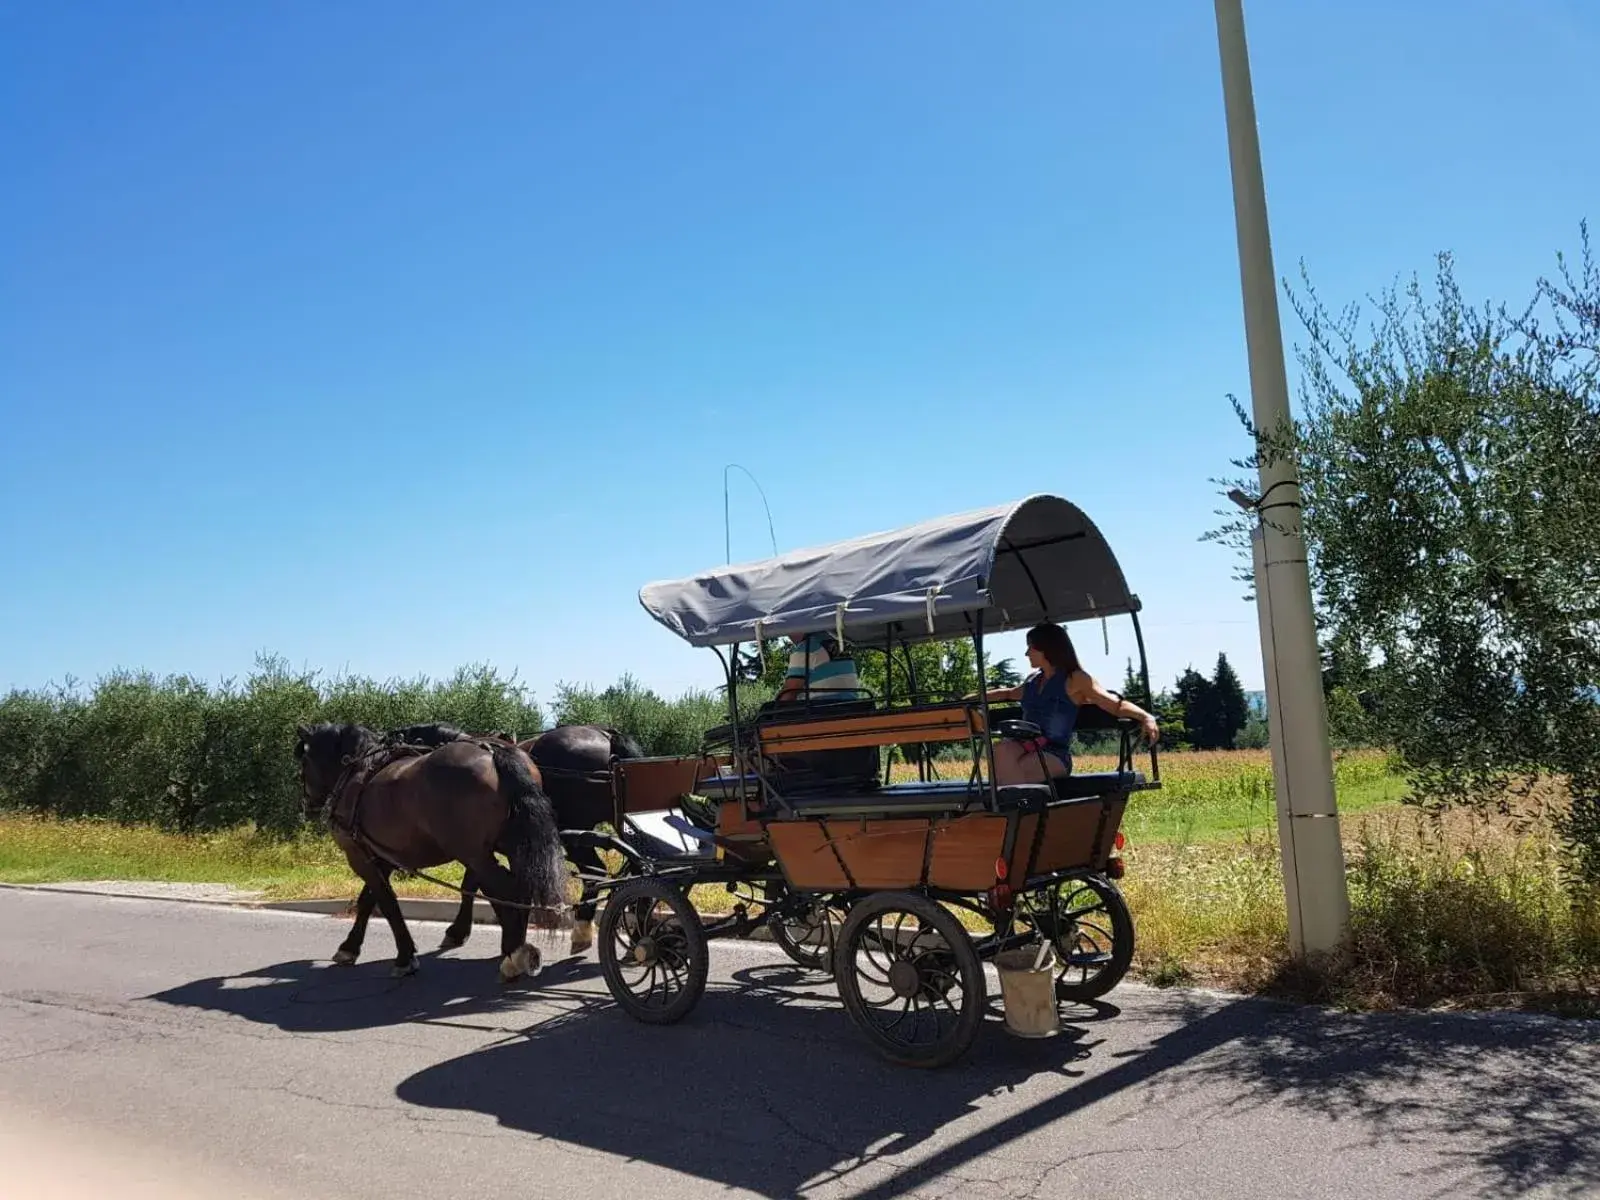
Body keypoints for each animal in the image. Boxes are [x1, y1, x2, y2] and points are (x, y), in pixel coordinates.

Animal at [296, 723, 569, 985]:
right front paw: (350, 947)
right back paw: (517, 948)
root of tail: (493, 751)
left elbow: (386, 902)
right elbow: (367, 901)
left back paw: (513, 955)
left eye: (304, 761)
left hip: (472, 852)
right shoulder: (382, 856)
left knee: (505, 889)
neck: (357, 771)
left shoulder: (359, 856)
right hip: (507, 846)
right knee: (518, 886)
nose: (307, 804)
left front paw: (404, 957)